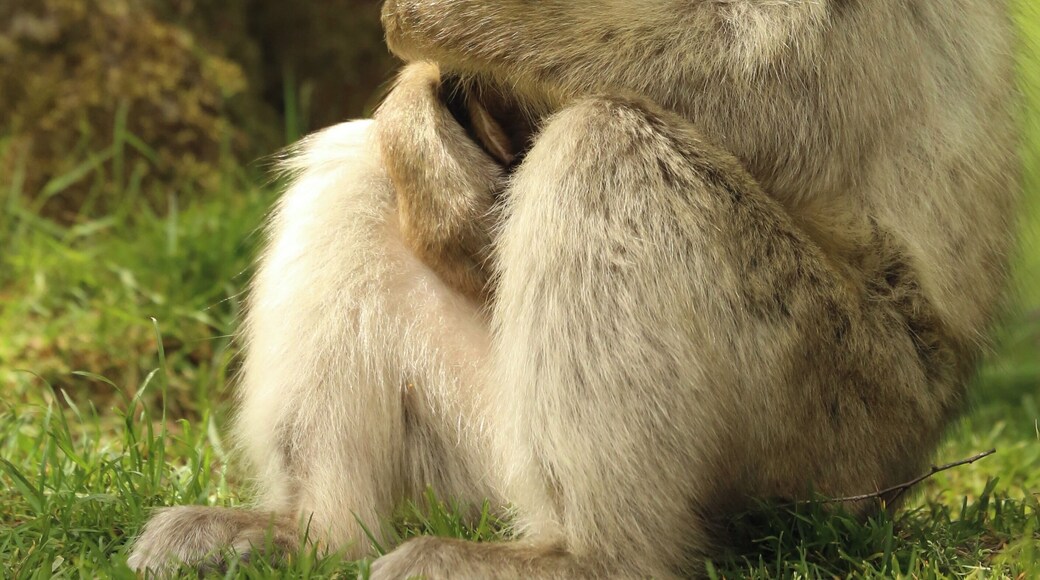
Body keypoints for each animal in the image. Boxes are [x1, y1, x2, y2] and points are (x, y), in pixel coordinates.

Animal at [128, 1, 1021, 578]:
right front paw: (419, 112)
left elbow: (764, 72)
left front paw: (444, 23)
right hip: (486, 447)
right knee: (362, 170)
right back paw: (309, 533)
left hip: (840, 420)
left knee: (607, 143)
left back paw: (590, 555)